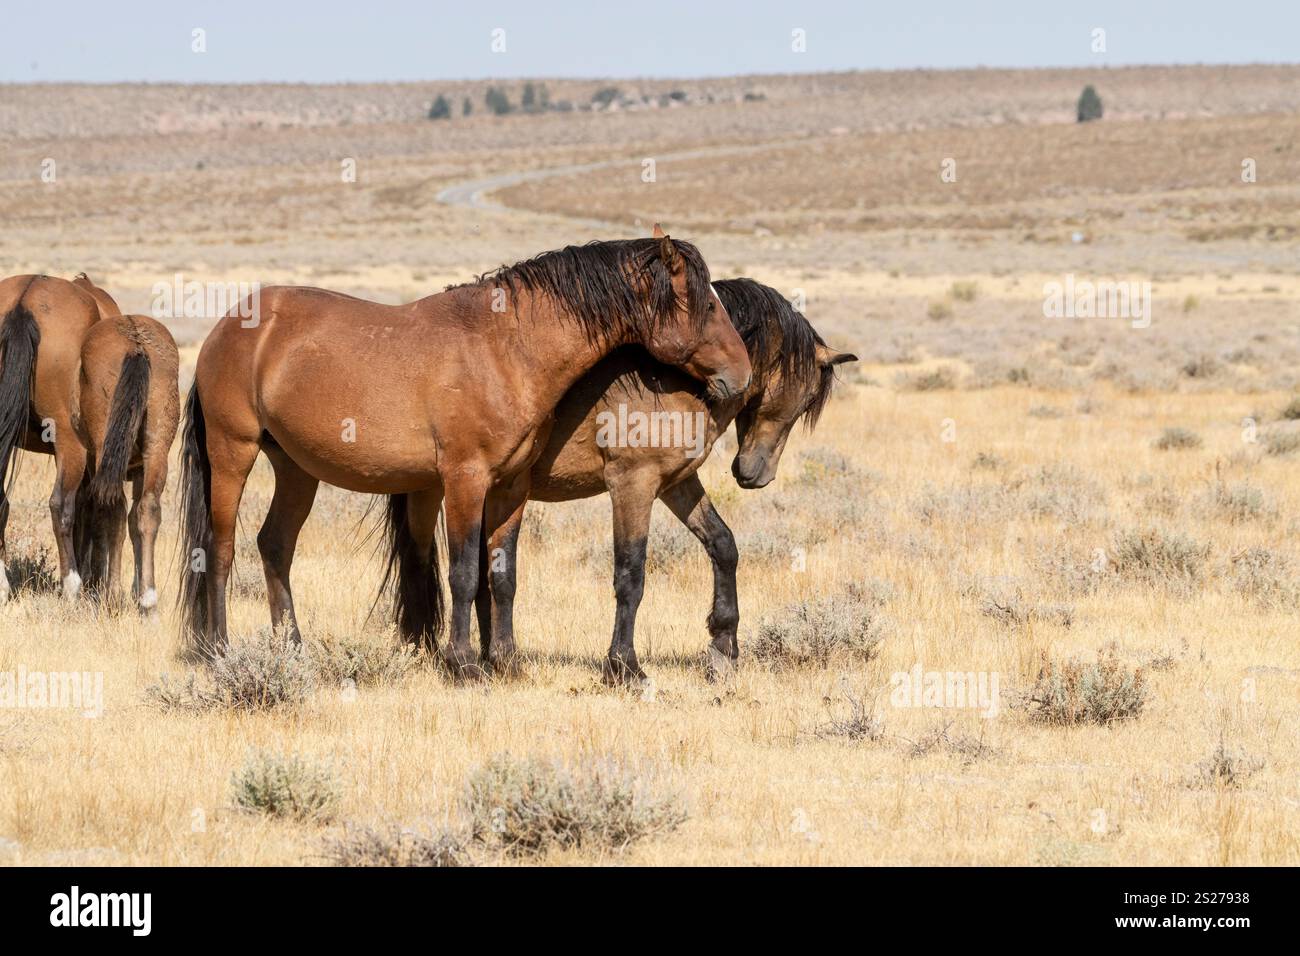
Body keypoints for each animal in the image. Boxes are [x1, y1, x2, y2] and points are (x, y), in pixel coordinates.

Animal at [74, 313, 180, 613]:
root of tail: (136, 346)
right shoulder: (140, 470)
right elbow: (136, 523)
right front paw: (138, 590)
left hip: (103, 451)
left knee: (115, 509)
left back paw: (111, 595)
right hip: (157, 450)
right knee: (147, 510)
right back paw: (148, 602)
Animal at [178, 231, 752, 680]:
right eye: (705, 304)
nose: (741, 377)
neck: (506, 349)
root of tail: (229, 325)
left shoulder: (511, 487)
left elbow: (501, 574)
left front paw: (507, 660)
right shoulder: (464, 479)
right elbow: (462, 571)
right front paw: (464, 663)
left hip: (296, 470)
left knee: (275, 545)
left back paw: (291, 650)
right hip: (233, 453)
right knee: (221, 550)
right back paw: (219, 650)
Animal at [476, 277, 856, 683]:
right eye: (807, 398)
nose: (754, 474)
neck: (673, 380)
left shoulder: (677, 483)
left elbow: (723, 544)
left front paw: (723, 647)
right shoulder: (633, 486)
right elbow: (630, 573)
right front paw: (623, 666)